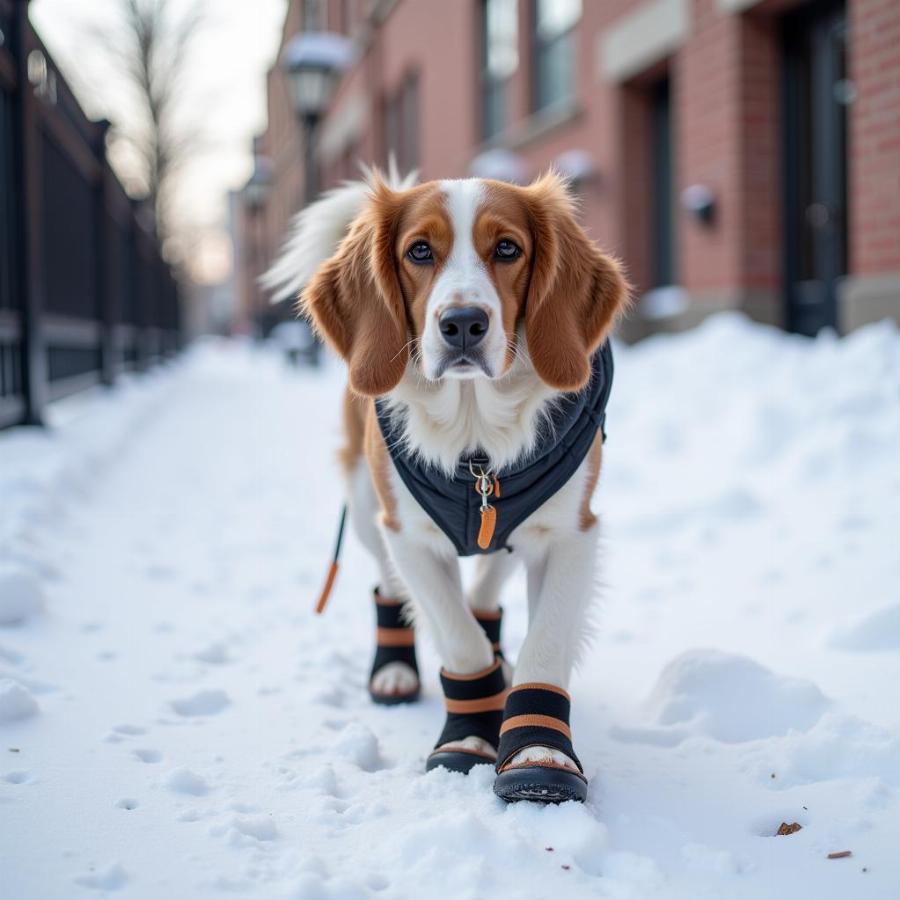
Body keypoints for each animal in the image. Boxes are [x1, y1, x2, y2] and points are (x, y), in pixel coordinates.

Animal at [268, 172, 628, 804]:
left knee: (487, 585)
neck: (476, 434)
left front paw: (537, 752)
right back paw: (395, 671)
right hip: (367, 505)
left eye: (507, 248)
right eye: (419, 252)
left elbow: (544, 639)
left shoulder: (570, 531)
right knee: (393, 586)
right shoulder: (408, 535)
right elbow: (458, 637)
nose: (462, 323)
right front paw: (468, 735)